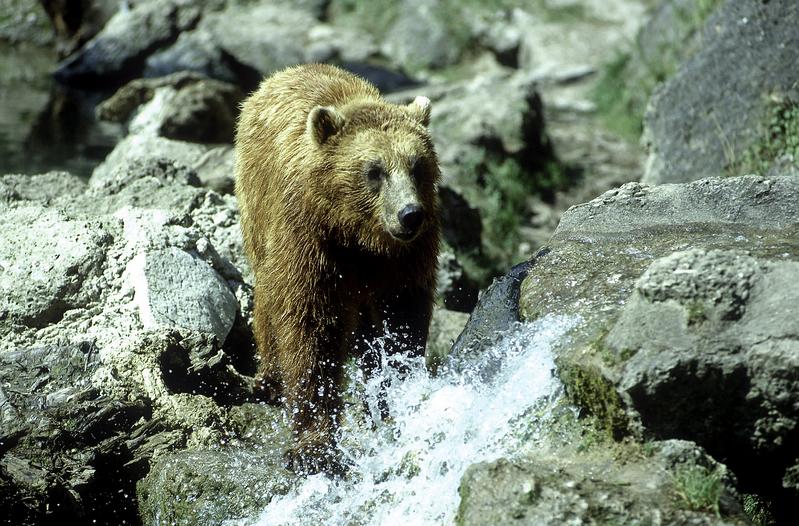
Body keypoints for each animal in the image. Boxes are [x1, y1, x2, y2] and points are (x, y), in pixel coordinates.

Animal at [234, 64, 440, 476]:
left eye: (417, 165)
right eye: (374, 171)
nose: (410, 214)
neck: (360, 237)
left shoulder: (407, 261)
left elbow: (403, 321)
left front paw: (397, 391)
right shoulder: (310, 241)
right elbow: (310, 329)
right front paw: (314, 448)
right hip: (257, 210)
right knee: (267, 297)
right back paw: (269, 379)